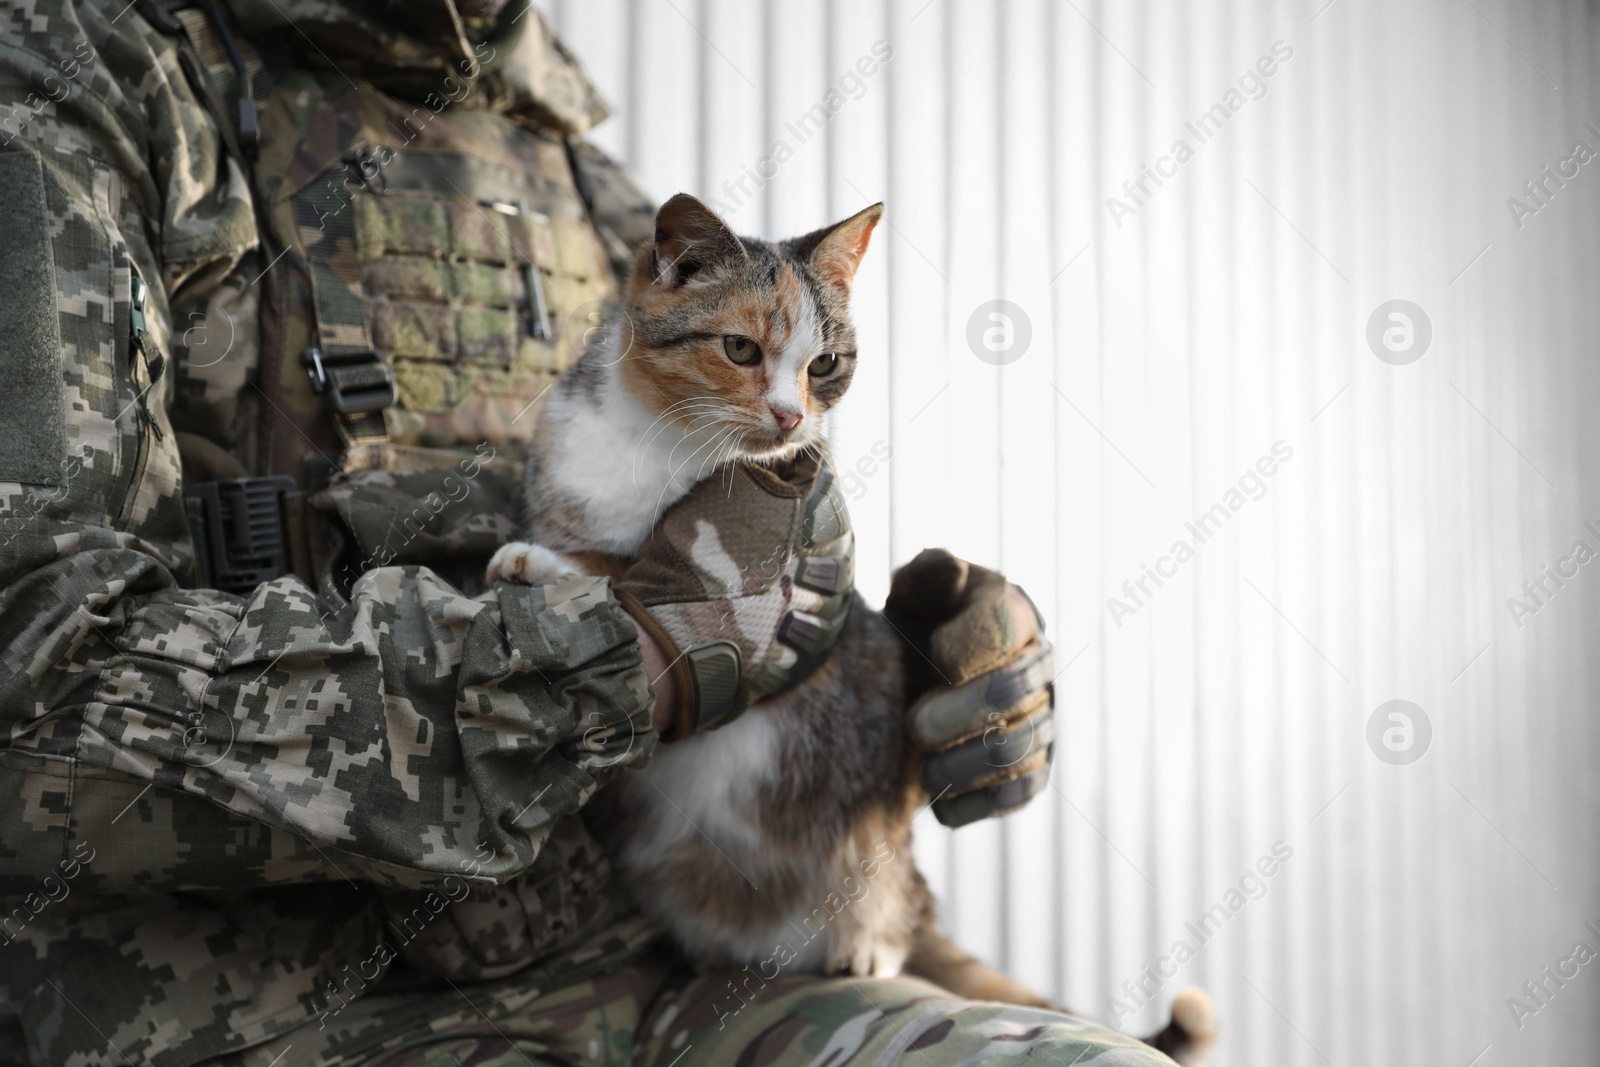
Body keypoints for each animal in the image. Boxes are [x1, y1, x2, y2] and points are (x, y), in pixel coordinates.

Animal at [486, 195, 1209, 1062]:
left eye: (826, 363)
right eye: (739, 348)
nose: (791, 415)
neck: (662, 442)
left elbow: (622, 569)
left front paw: (548, 565)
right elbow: (605, 551)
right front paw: (547, 556)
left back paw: (865, 944)